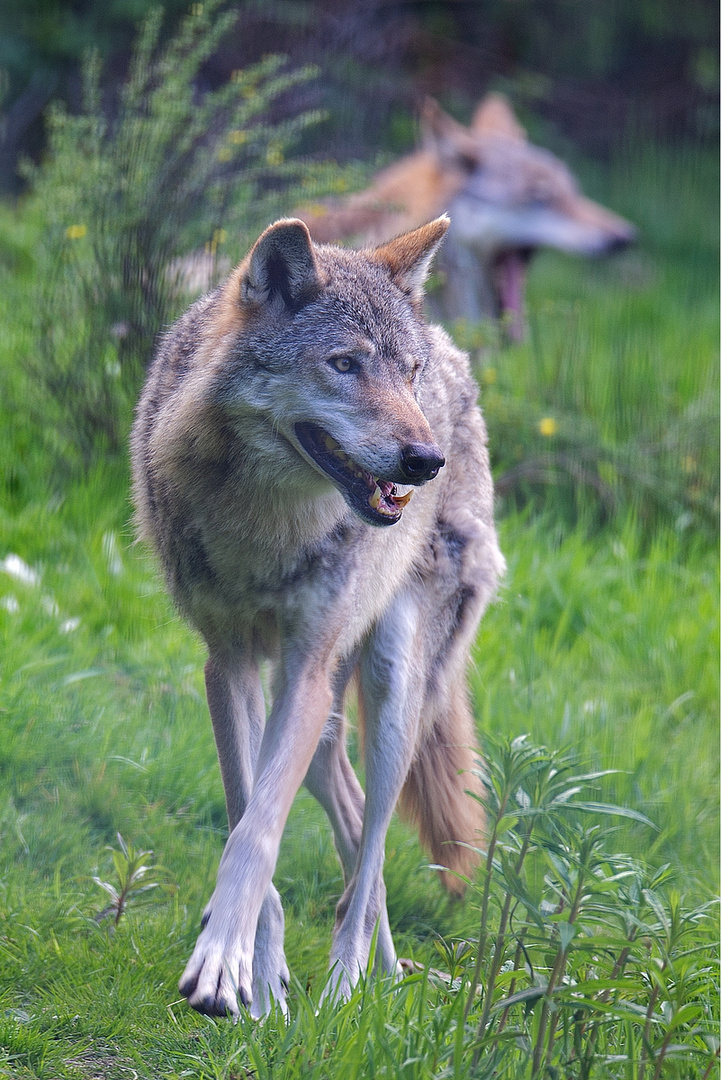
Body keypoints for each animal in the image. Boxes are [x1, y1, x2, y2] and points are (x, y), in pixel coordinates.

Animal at [131, 214, 500, 1015]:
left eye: (406, 372)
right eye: (344, 365)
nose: (425, 459)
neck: (265, 525)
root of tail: (458, 356)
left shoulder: (302, 670)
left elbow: (256, 835)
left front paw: (225, 965)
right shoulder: (231, 665)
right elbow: (246, 820)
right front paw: (252, 981)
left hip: (388, 688)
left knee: (372, 853)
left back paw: (347, 994)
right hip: (328, 720)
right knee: (357, 817)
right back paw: (373, 981)